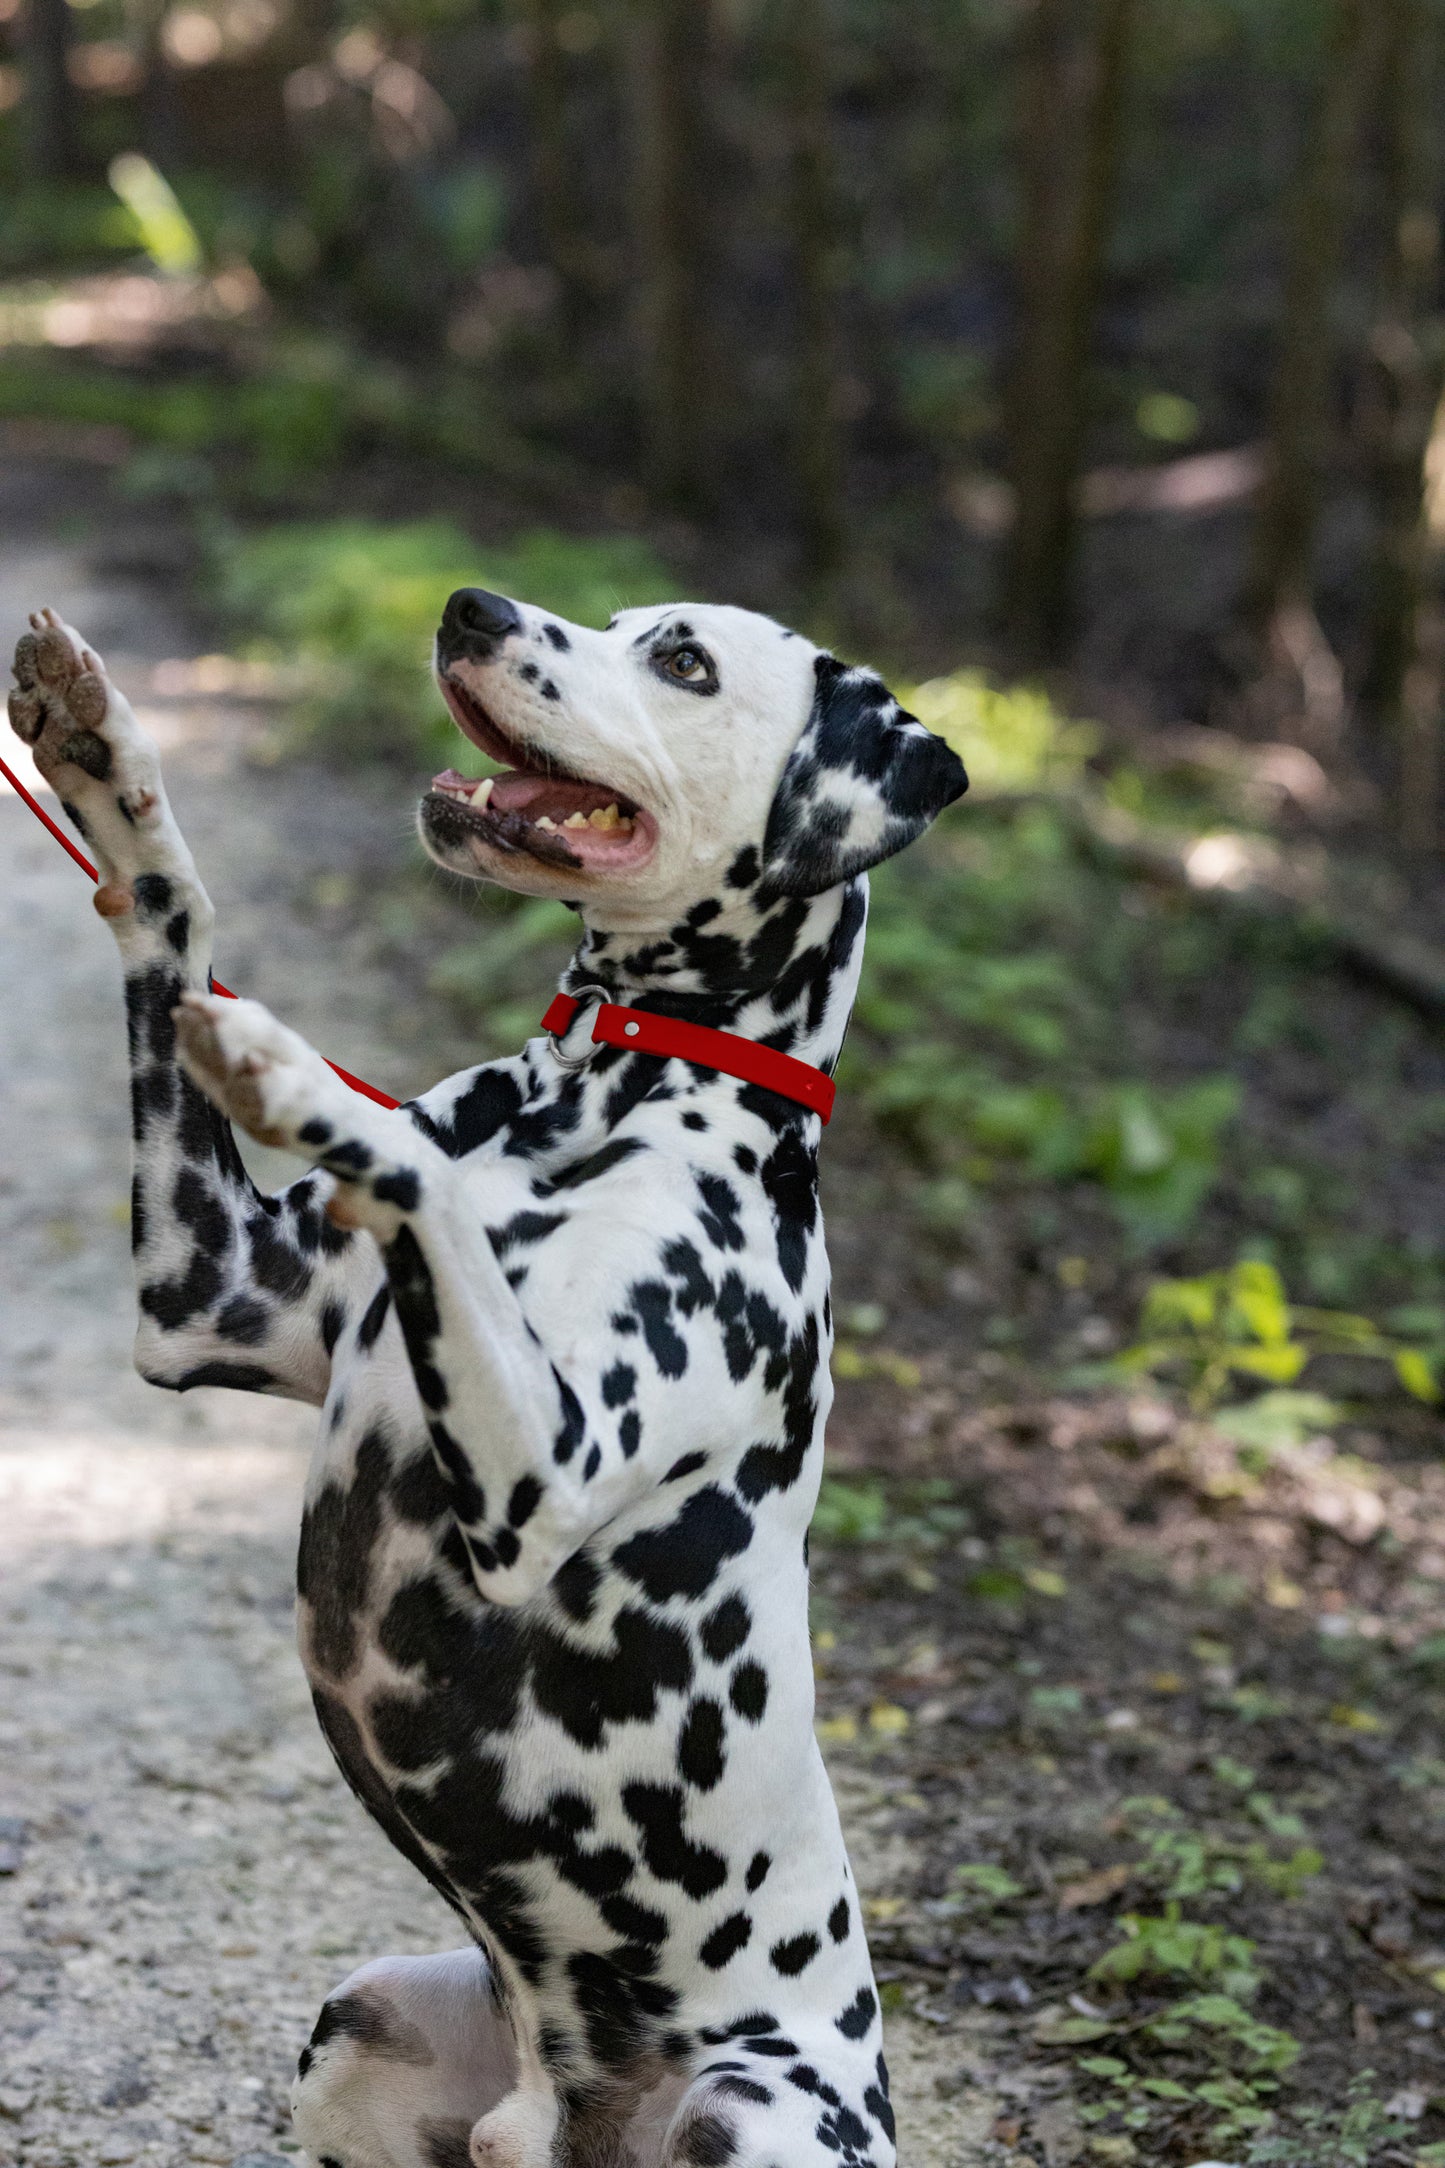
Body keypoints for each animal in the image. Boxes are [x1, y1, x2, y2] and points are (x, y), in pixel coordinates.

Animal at [11, 589, 966, 2168]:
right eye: (619, 616)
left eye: (682, 659)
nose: (473, 605)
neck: (608, 1093)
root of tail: (559, 2118)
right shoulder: (203, 1293)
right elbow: (169, 913)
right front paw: (103, 753)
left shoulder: (542, 1476)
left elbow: (418, 1179)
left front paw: (298, 1076)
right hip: (357, 2023)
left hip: (750, 2106)